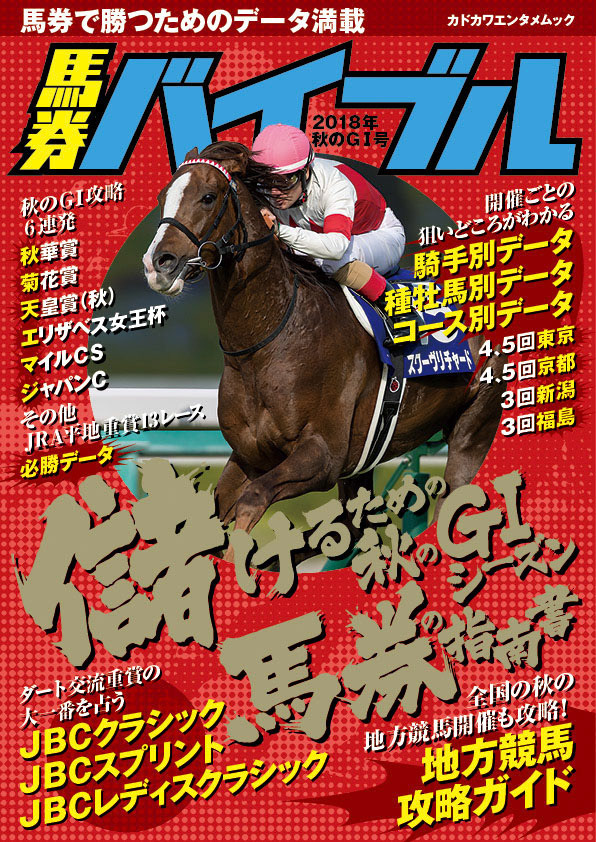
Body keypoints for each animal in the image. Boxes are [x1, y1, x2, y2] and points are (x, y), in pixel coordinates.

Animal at [143, 141, 506, 537]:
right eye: (163, 197)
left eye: (208, 197)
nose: (158, 264)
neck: (265, 345)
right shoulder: (251, 456)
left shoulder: (323, 455)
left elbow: (253, 500)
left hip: (474, 428)